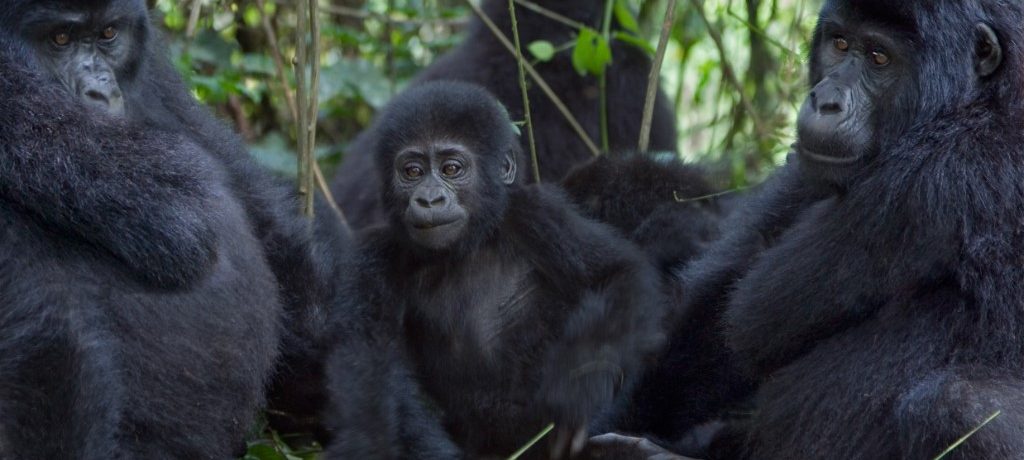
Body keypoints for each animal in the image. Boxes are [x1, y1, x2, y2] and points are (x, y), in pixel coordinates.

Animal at [323, 82, 667, 458]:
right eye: (412, 172)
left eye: (451, 169)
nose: (429, 199)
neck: (467, 248)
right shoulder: (374, 256)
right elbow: (368, 363)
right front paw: (366, 442)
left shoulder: (537, 212)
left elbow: (617, 273)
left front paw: (580, 387)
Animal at [675, 1, 1024, 456]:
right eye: (840, 44)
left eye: (879, 57)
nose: (825, 101)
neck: (987, 97)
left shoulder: (943, 173)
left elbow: (750, 316)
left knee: (957, 407)